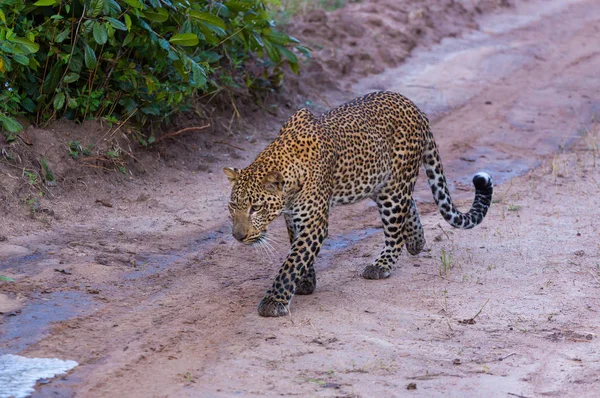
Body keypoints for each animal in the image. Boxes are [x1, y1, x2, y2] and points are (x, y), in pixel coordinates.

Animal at [224, 90, 492, 318]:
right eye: (232, 207)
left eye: (256, 208)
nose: (237, 236)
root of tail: (415, 107)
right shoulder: (294, 218)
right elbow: (297, 251)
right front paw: (306, 282)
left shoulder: (314, 222)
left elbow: (293, 260)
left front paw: (274, 300)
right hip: (378, 181)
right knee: (409, 205)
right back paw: (416, 241)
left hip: (393, 190)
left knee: (395, 231)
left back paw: (382, 265)